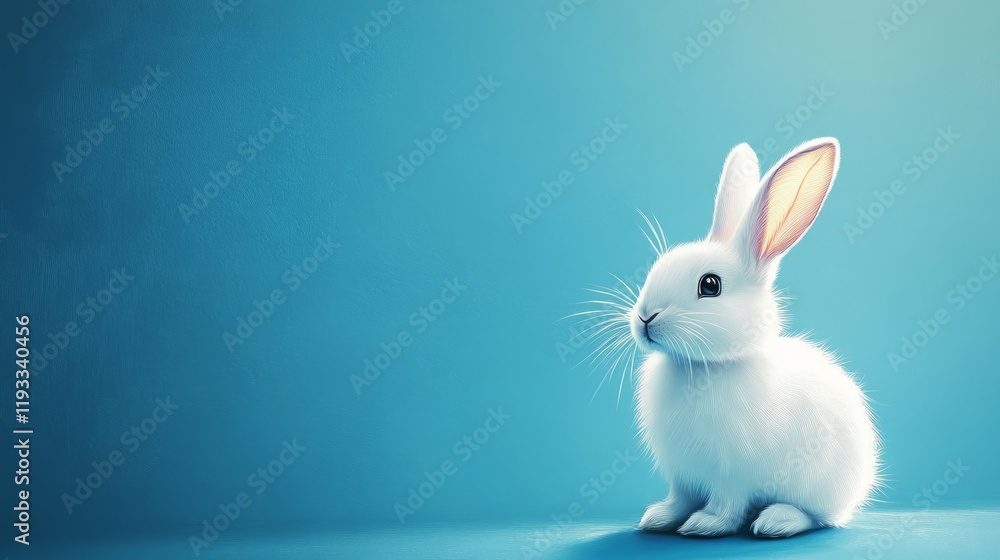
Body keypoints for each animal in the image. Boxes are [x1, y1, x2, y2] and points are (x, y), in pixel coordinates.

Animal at [627, 138, 880, 538]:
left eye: (710, 285)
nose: (644, 318)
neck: (703, 366)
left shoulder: (732, 474)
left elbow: (727, 504)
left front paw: (706, 524)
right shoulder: (682, 475)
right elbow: (680, 498)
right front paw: (659, 517)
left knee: (816, 517)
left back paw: (776, 521)